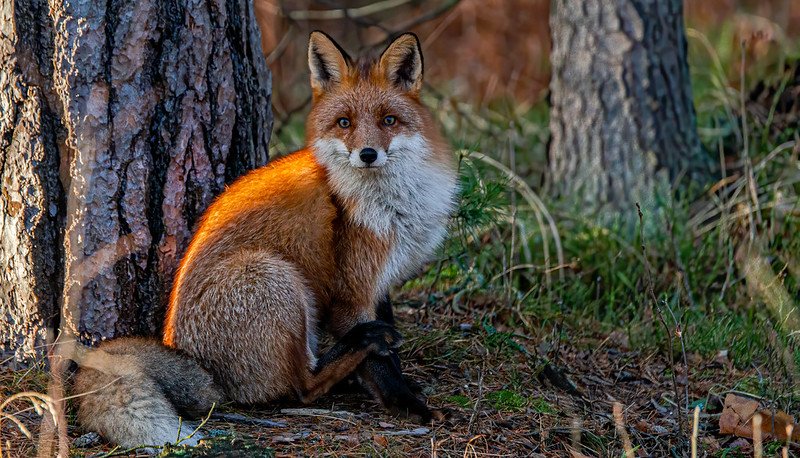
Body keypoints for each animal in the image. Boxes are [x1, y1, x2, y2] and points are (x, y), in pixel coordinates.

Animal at [73, 31, 458, 450]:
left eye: (389, 120)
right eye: (345, 123)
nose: (367, 154)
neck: (396, 205)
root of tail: (190, 356)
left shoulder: (380, 280)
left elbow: (391, 352)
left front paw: (403, 386)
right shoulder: (352, 287)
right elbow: (382, 363)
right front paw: (407, 405)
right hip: (272, 276)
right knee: (303, 386)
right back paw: (354, 349)